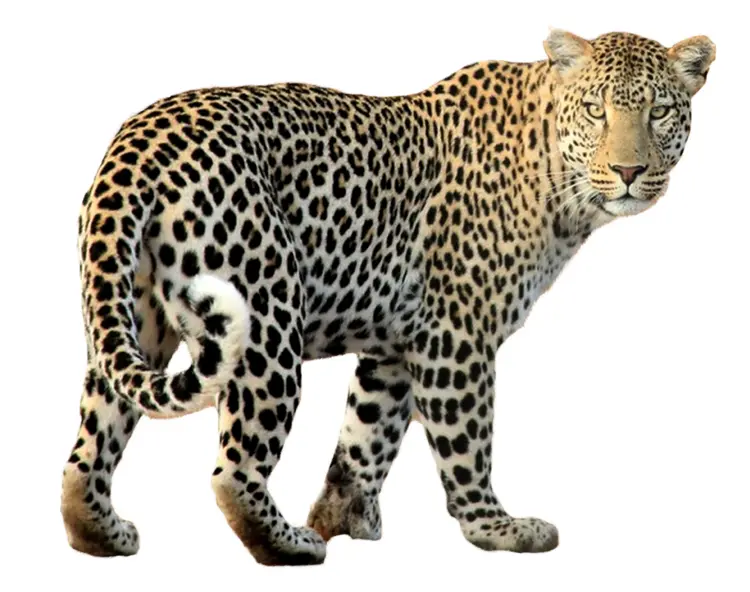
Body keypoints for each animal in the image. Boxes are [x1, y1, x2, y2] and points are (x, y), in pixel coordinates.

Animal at [62, 29, 715, 565]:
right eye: (596, 110)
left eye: (658, 112)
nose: (629, 171)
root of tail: (138, 142)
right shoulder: (456, 334)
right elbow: (467, 441)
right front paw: (496, 529)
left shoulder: (398, 343)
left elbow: (366, 434)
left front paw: (344, 518)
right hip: (266, 320)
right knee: (234, 470)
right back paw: (290, 546)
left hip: (131, 314)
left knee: (89, 447)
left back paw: (103, 534)